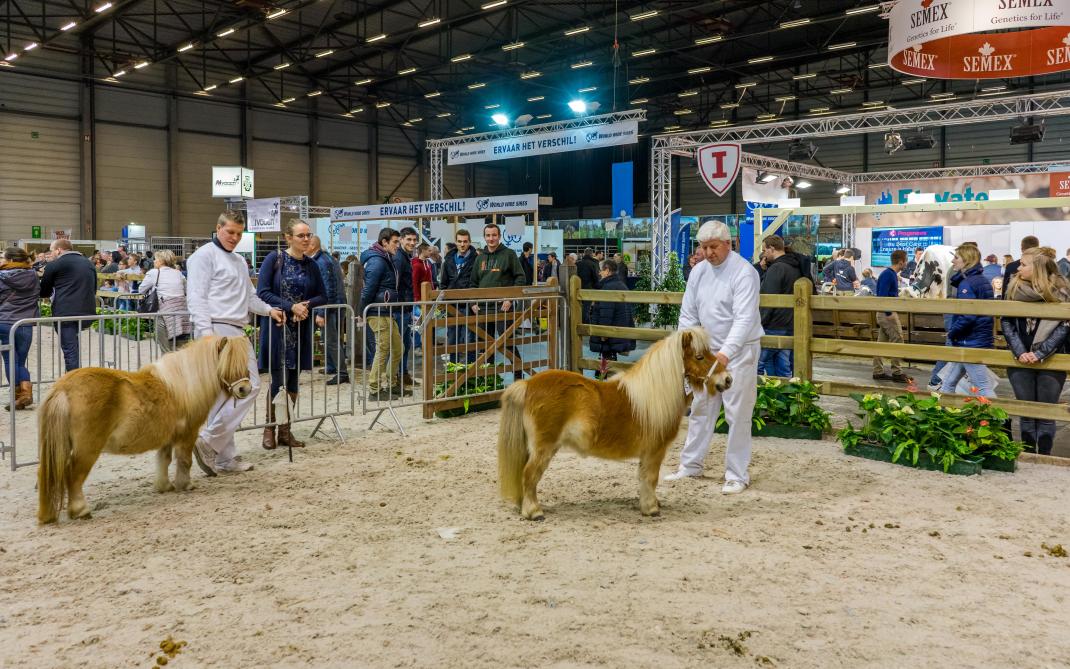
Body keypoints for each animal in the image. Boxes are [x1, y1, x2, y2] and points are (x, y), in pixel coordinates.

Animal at [37, 336, 254, 524]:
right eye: (228, 363)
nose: (245, 389)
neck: (181, 386)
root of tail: (63, 389)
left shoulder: (168, 437)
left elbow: (164, 460)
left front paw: (165, 486)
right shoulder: (188, 434)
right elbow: (184, 460)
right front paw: (186, 485)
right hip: (87, 449)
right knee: (73, 475)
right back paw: (81, 510)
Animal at [497, 326, 729, 521]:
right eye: (699, 357)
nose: (727, 380)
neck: (653, 395)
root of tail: (527, 384)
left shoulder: (647, 454)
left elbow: (643, 478)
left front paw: (649, 503)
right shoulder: (655, 450)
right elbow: (651, 478)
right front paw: (651, 508)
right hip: (544, 448)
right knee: (529, 475)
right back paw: (534, 512)